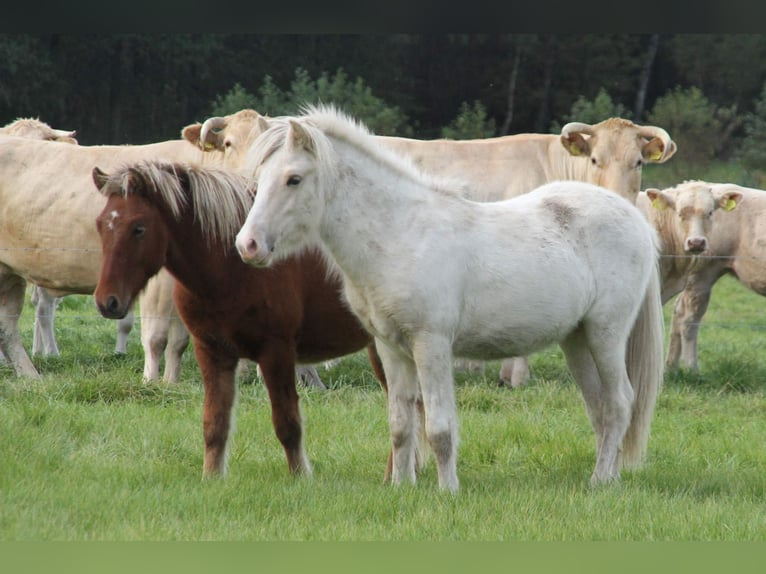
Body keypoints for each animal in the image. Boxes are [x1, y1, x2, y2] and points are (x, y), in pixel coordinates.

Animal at [91, 161, 390, 482]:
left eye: (139, 228)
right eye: (100, 225)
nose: (107, 302)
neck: (231, 266)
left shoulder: (276, 353)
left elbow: (287, 424)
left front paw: (301, 477)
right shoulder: (212, 351)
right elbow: (215, 422)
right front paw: (212, 477)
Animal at [236, 106, 664, 492]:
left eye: (293, 179)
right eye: (259, 180)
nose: (248, 245)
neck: (400, 234)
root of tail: (635, 219)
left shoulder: (432, 345)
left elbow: (439, 426)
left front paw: (447, 491)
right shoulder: (391, 349)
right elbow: (401, 425)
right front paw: (402, 488)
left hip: (605, 334)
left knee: (620, 402)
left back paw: (601, 480)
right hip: (576, 340)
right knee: (599, 407)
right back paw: (607, 476)